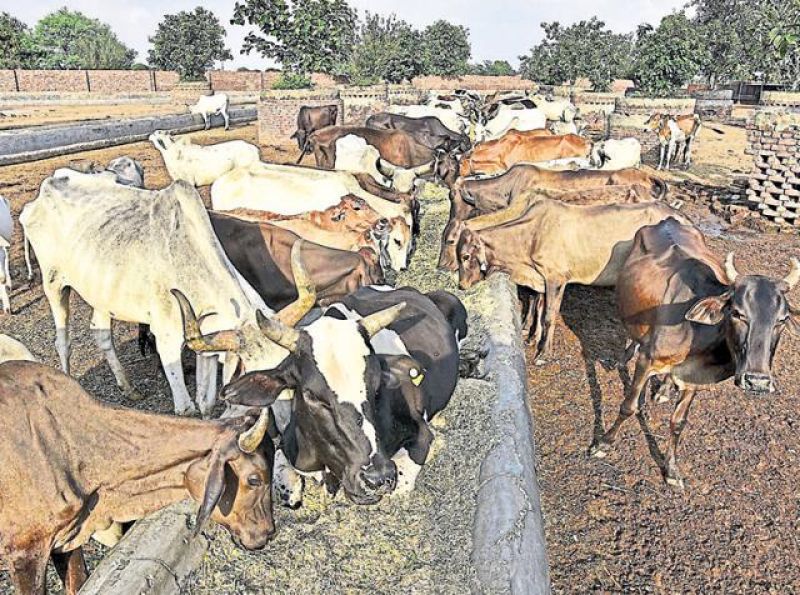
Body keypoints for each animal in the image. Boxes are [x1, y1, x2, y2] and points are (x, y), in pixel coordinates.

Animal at [455, 199, 683, 361]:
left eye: (465, 256)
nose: (461, 285)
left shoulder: (555, 279)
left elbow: (549, 316)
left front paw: (544, 353)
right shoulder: (541, 279)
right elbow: (539, 308)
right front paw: (532, 338)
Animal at [591, 218, 800, 488]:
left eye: (782, 319)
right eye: (737, 312)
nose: (757, 381)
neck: (697, 333)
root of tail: (666, 220)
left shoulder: (694, 377)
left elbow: (678, 422)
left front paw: (671, 470)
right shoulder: (648, 360)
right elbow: (629, 406)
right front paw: (603, 443)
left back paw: (664, 390)